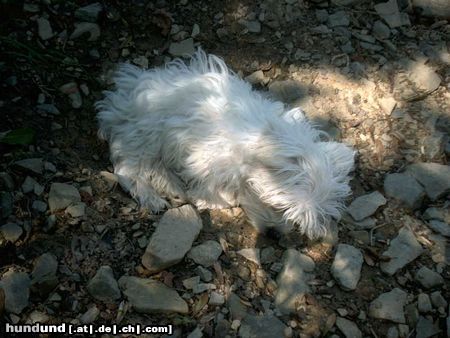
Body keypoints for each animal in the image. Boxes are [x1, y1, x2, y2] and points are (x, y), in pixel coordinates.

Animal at [96, 48, 356, 239]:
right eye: (277, 207)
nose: (274, 235)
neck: (255, 141)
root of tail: (125, 90)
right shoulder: (203, 156)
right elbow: (213, 184)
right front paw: (211, 198)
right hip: (145, 134)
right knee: (127, 169)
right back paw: (151, 195)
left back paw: (173, 187)